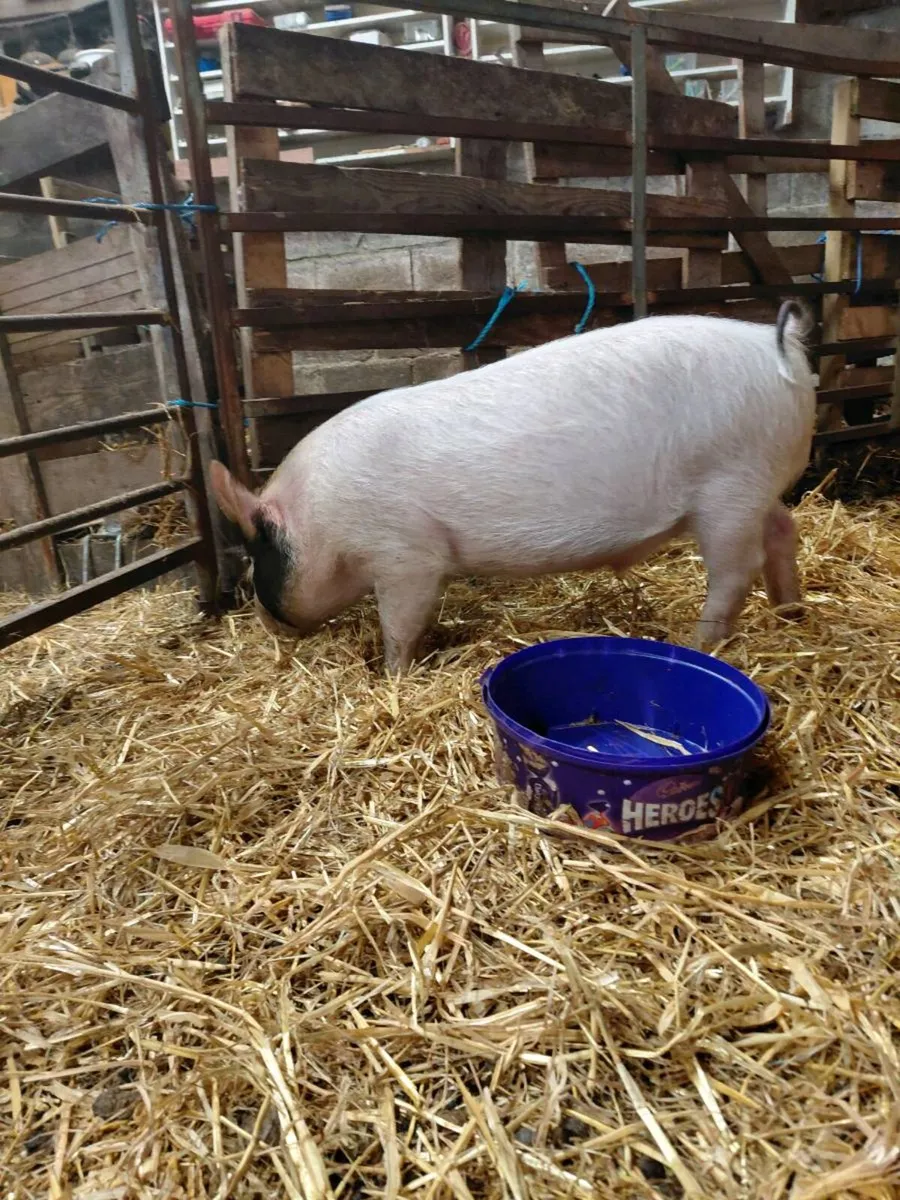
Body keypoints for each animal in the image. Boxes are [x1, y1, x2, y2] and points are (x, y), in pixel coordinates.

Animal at [209, 300, 815, 674]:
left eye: (256, 555)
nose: (267, 624)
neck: (320, 522)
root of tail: (780, 345)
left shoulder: (406, 555)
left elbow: (401, 623)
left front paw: (391, 674)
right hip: (757, 485)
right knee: (785, 530)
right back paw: (791, 613)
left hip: (730, 487)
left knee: (735, 571)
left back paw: (699, 643)